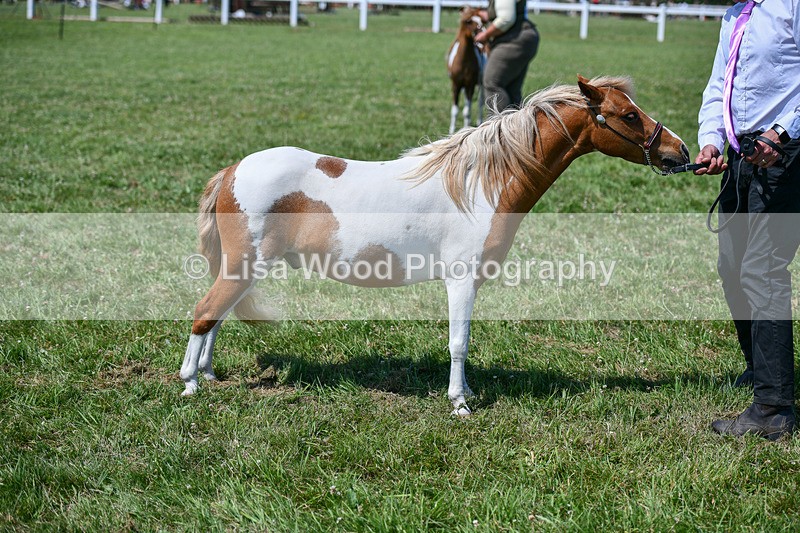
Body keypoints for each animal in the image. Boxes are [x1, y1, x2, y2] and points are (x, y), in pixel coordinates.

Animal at [180, 75, 691, 416]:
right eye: (628, 115)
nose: (680, 152)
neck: (481, 184)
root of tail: (232, 170)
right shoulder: (460, 281)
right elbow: (458, 343)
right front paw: (460, 403)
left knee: (217, 316)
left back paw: (208, 373)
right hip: (245, 266)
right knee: (205, 312)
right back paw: (189, 385)